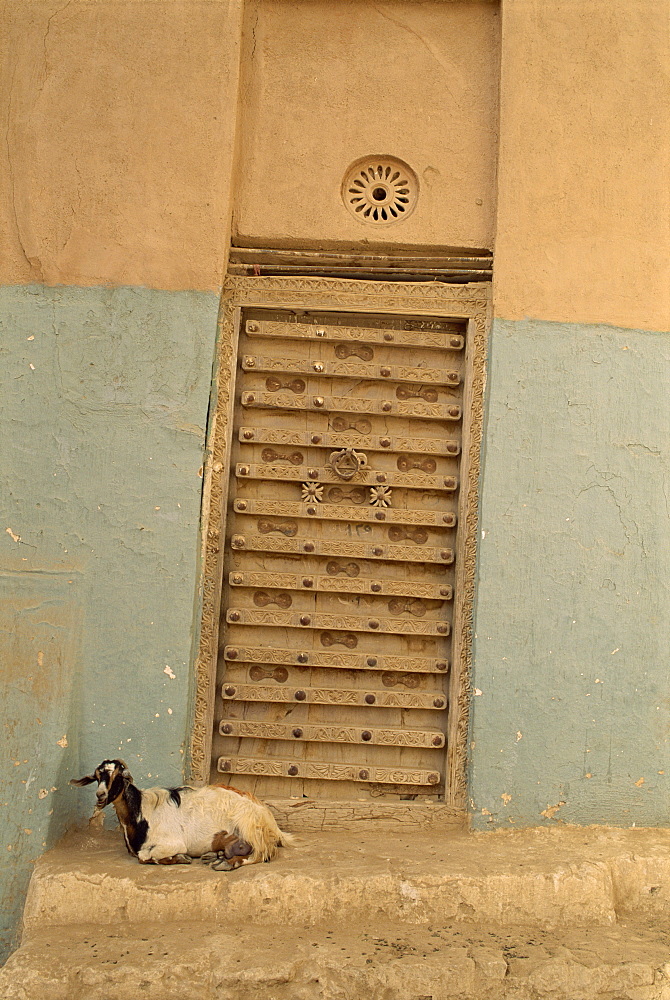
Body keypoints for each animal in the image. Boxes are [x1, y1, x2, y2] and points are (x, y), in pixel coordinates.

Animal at [69, 760, 292, 872]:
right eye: (97, 776)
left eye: (118, 776)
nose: (100, 796)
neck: (140, 810)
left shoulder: (172, 843)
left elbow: (145, 856)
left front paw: (180, 858)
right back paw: (215, 856)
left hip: (251, 828)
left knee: (260, 855)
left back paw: (225, 863)